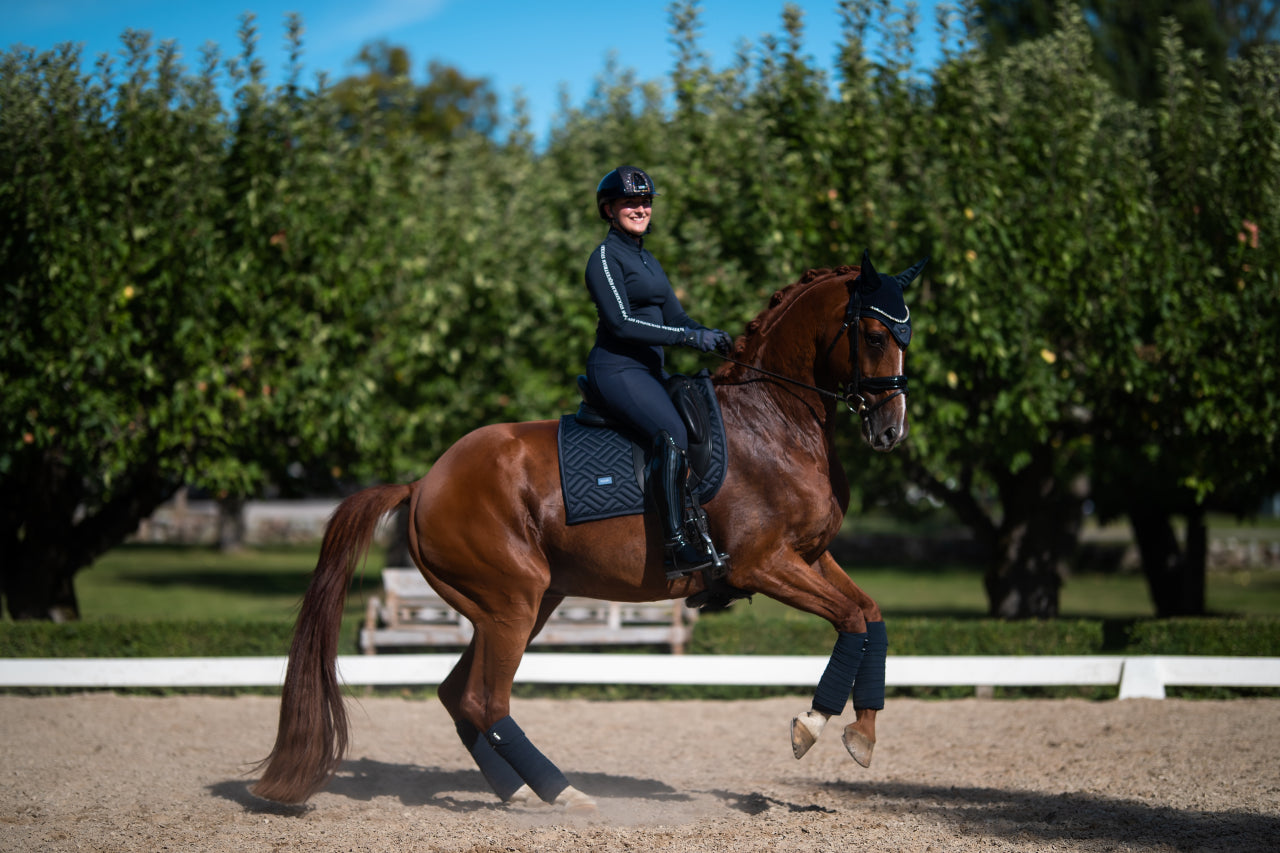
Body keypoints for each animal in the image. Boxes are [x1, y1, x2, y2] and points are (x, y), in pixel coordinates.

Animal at [254, 249, 926, 809]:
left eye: (907, 335)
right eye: (872, 335)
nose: (890, 430)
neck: (774, 421)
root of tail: (424, 483)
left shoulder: (809, 556)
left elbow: (869, 616)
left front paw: (863, 732)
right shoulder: (762, 564)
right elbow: (848, 620)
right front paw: (812, 726)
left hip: (522, 604)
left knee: (457, 694)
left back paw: (516, 792)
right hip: (511, 603)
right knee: (483, 699)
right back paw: (562, 793)